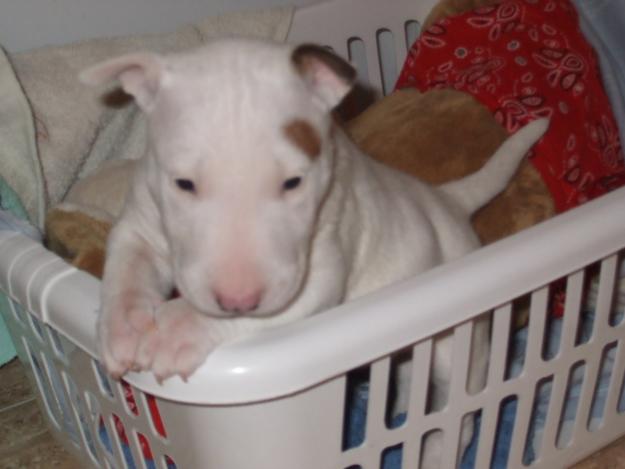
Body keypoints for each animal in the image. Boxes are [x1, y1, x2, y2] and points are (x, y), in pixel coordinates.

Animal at [81, 38, 544, 466]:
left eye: (293, 182)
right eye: (183, 183)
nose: (238, 299)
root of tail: (448, 200)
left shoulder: (318, 272)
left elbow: (277, 307)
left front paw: (177, 329)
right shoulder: (141, 219)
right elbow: (128, 263)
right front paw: (123, 328)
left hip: (463, 341)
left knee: (460, 407)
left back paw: (435, 451)